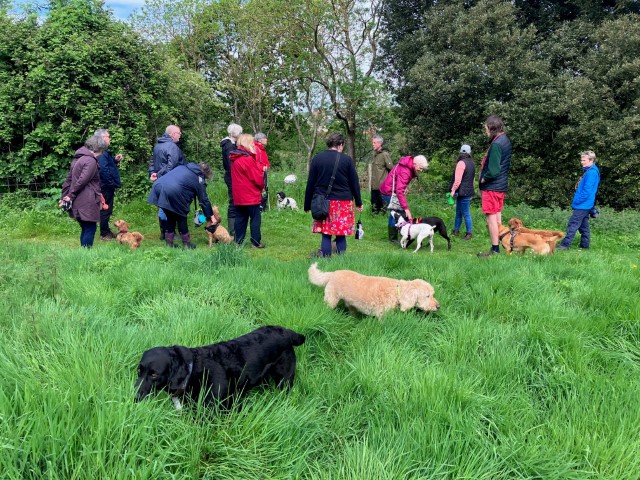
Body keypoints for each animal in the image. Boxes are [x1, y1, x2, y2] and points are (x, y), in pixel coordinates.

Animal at [134, 326, 304, 408]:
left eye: (154, 374)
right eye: (139, 371)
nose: (134, 397)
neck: (192, 370)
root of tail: (287, 332)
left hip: (285, 380)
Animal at [308, 262, 440, 318]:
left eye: (433, 294)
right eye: (427, 296)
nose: (439, 306)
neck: (397, 292)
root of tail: (333, 273)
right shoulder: (382, 315)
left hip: (350, 303)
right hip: (331, 300)